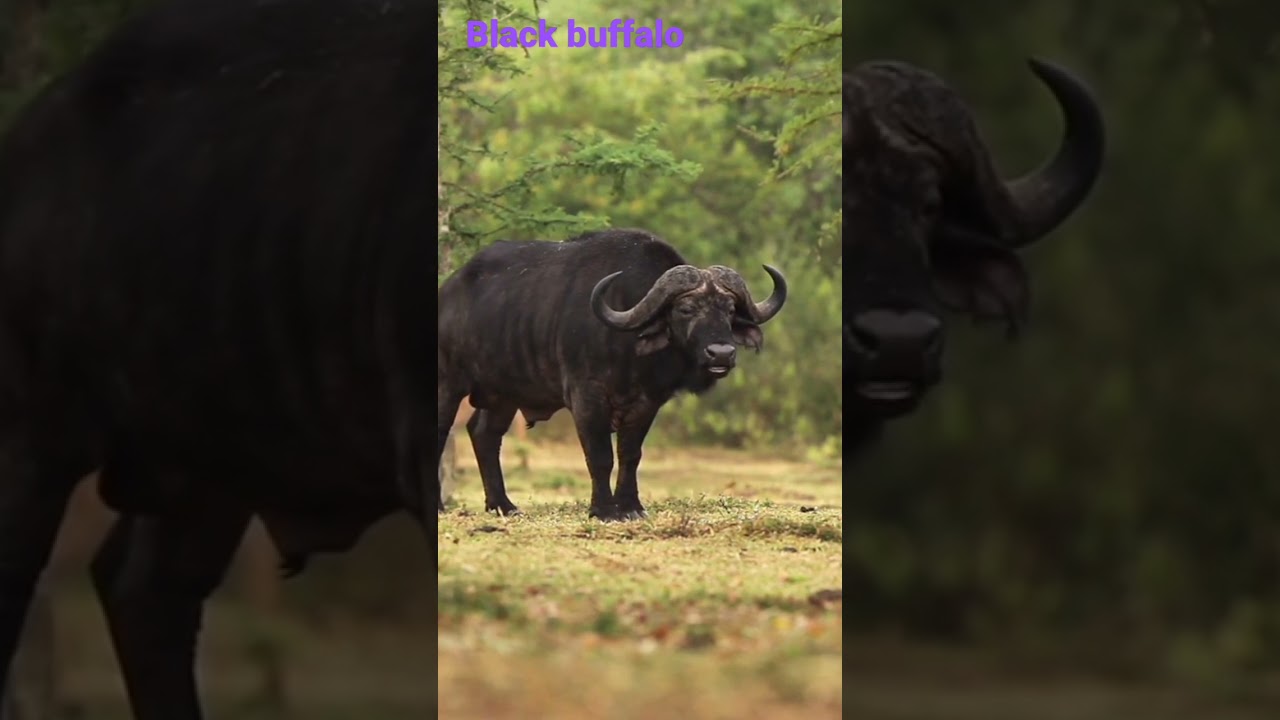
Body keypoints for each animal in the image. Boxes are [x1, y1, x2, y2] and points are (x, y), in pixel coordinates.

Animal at [436, 229, 787, 520]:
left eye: (729, 310)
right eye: (685, 309)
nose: (721, 354)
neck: (627, 348)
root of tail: (449, 292)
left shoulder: (647, 402)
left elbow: (630, 454)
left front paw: (631, 506)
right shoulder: (586, 397)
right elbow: (600, 455)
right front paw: (604, 510)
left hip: (504, 394)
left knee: (484, 434)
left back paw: (503, 505)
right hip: (449, 385)